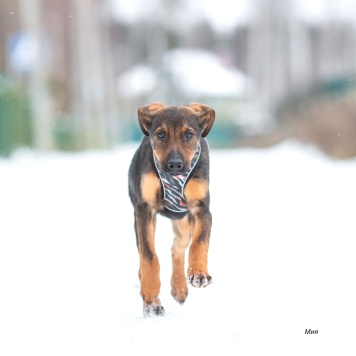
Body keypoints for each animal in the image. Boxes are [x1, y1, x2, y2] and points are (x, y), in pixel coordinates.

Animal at [129, 103, 216, 318]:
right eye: (160, 134)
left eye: (189, 135)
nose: (175, 165)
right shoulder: (144, 210)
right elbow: (149, 256)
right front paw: (150, 296)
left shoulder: (201, 209)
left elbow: (200, 242)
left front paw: (199, 273)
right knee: (145, 258)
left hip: (183, 222)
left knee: (178, 247)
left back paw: (179, 287)